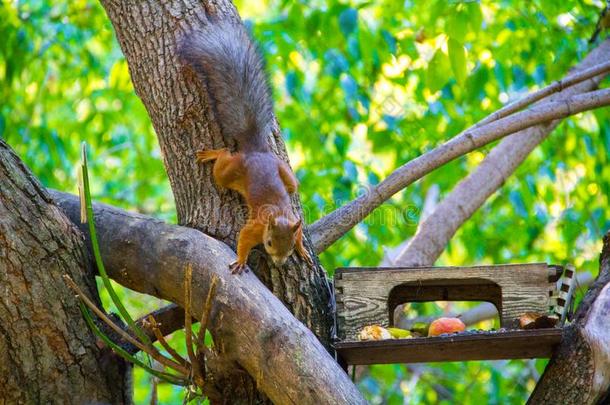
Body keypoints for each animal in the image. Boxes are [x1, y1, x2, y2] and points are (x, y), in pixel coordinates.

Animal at [178, 18, 312, 272]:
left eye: (289, 247)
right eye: (269, 243)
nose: (279, 262)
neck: (279, 216)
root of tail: (256, 151)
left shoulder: (294, 224)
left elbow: (299, 235)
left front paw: (302, 250)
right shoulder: (255, 228)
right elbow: (243, 239)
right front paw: (240, 260)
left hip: (285, 174)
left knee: (293, 185)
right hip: (230, 172)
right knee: (223, 159)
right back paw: (213, 153)